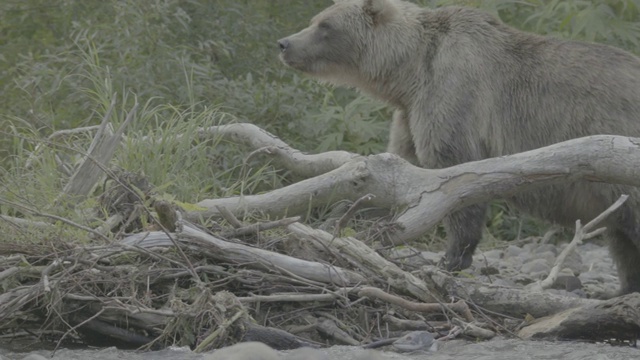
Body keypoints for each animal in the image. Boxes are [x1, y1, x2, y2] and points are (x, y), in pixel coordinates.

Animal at [280, 0, 640, 294]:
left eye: (325, 25)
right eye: (315, 20)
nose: (284, 43)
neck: (408, 73)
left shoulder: (454, 94)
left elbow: (456, 175)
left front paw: (452, 257)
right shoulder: (411, 115)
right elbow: (390, 174)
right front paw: (337, 222)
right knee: (621, 236)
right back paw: (623, 288)